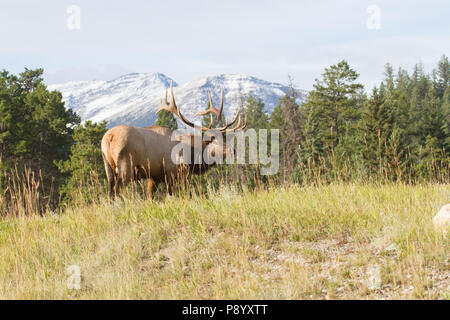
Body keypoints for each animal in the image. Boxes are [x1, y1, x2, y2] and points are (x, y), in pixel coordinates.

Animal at [101, 83, 246, 198]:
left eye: (225, 138)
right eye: (215, 140)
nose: (232, 150)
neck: (192, 156)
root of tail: (109, 138)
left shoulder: (154, 177)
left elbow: (149, 197)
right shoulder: (174, 172)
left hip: (108, 167)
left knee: (110, 192)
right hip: (126, 166)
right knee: (117, 190)